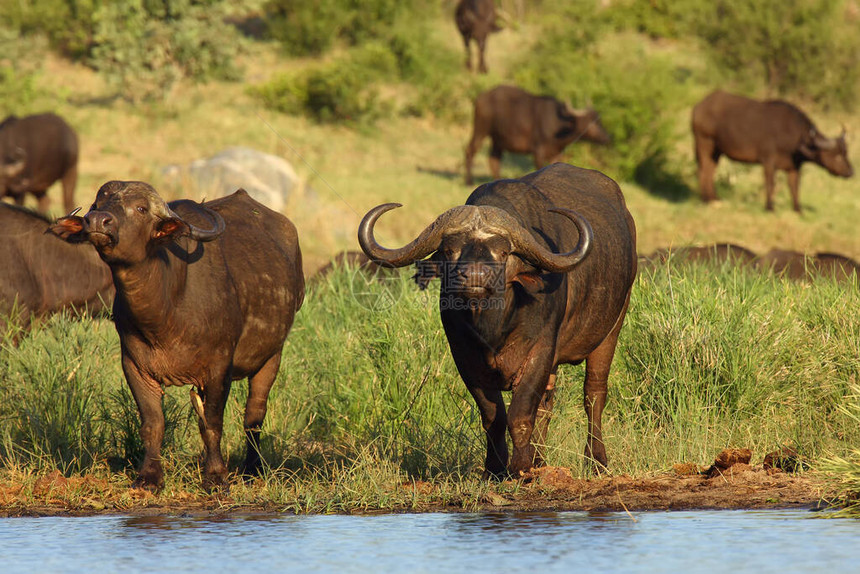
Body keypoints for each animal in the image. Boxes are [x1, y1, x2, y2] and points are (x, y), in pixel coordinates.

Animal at [49, 181, 306, 490]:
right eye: (97, 205)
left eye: (141, 208)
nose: (98, 221)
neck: (166, 311)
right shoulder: (134, 365)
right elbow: (153, 423)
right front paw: (149, 477)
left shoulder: (219, 367)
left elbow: (212, 423)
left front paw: (216, 476)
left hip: (271, 356)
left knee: (254, 415)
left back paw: (252, 469)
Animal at [358, 164, 640, 480]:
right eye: (450, 250)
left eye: (503, 252)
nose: (475, 277)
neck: (493, 328)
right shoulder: (465, 358)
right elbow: (494, 416)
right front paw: (495, 468)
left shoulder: (541, 350)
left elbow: (520, 414)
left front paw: (520, 467)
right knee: (548, 404)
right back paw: (541, 461)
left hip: (611, 329)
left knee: (593, 394)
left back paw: (596, 461)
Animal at [464, 85, 612, 186]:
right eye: (591, 124)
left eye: (599, 121)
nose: (607, 138)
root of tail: (481, 97)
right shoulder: (537, 152)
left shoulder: (556, 154)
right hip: (480, 129)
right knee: (470, 150)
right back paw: (469, 181)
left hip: (498, 140)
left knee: (494, 159)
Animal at [688, 91, 848, 213]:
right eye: (837, 156)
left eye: (845, 153)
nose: (850, 172)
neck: (794, 135)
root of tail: (699, 106)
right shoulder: (768, 161)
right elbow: (770, 183)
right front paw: (769, 207)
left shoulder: (793, 167)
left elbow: (794, 186)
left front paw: (798, 209)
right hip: (704, 143)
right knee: (703, 170)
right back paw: (705, 199)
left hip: (717, 151)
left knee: (710, 170)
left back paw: (713, 198)